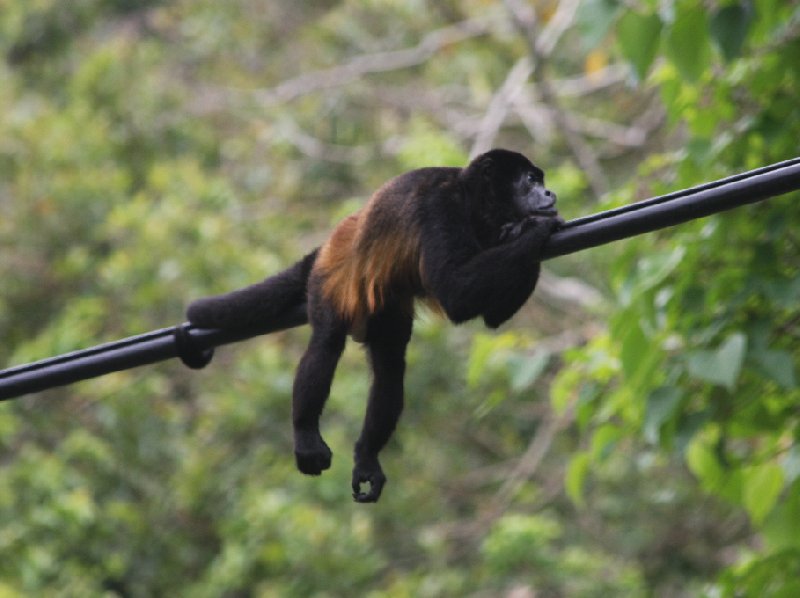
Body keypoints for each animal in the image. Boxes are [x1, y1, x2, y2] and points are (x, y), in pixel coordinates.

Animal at [189, 149, 564, 502]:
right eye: (531, 179)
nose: (550, 192)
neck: (476, 204)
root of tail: (335, 238)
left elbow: (492, 315)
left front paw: (525, 229)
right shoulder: (440, 204)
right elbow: (455, 291)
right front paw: (535, 227)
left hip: (384, 303)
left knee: (390, 366)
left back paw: (367, 456)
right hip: (330, 278)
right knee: (326, 343)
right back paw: (306, 432)